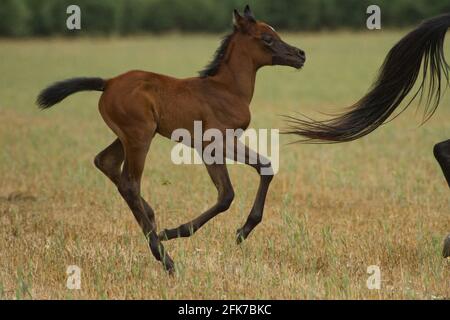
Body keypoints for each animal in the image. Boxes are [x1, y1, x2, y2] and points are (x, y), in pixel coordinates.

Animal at [37, 6, 306, 272]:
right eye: (267, 38)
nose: (300, 54)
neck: (227, 89)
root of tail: (108, 83)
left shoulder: (215, 146)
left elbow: (258, 171)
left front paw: (243, 231)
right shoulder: (212, 144)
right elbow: (229, 193)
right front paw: (176, 232)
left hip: (129, 136)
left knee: (106, 162)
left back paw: (151, 218)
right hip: (139, 136)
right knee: (129, 184)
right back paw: (165, 257)